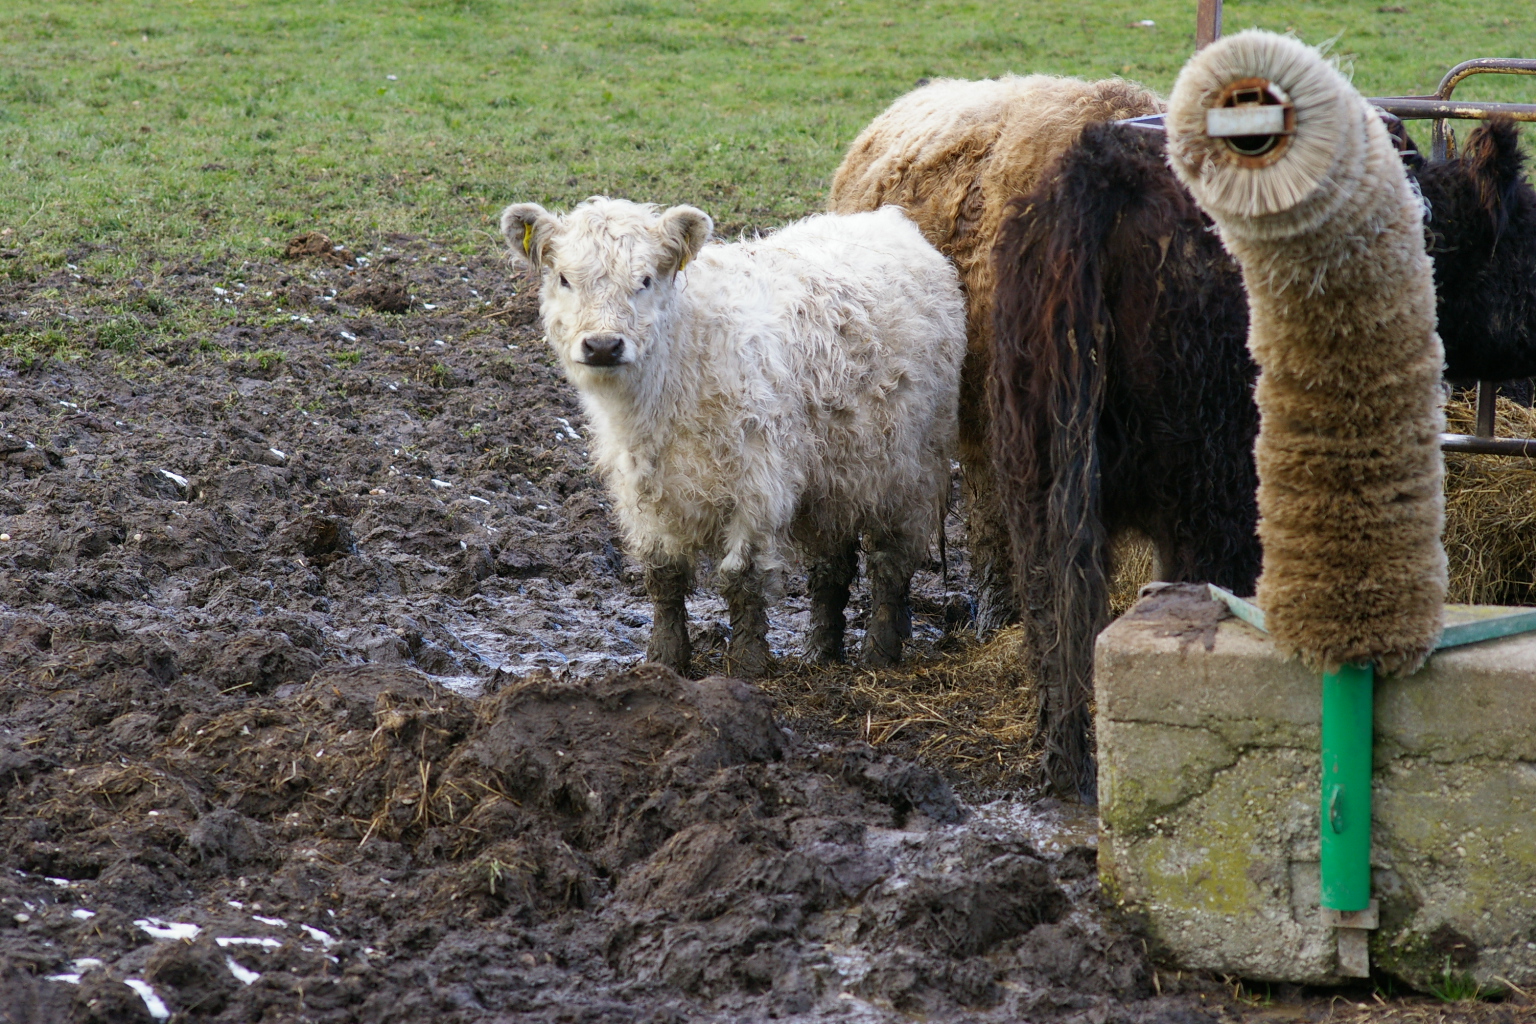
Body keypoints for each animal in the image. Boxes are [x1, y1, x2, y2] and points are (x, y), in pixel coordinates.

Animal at [500, 198, 958, 681]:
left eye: (645, 280)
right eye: (565, 279)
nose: (604, 345)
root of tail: (887, 219)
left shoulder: (758, 484)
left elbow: (743, 577)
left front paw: (747, 665)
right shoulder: (643, 490)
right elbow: (663, 576)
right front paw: (664, 660)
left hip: (911, 468)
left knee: (890, 563)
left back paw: (880, 653)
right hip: (834, 476)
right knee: (830, 565)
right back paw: (821, 651)